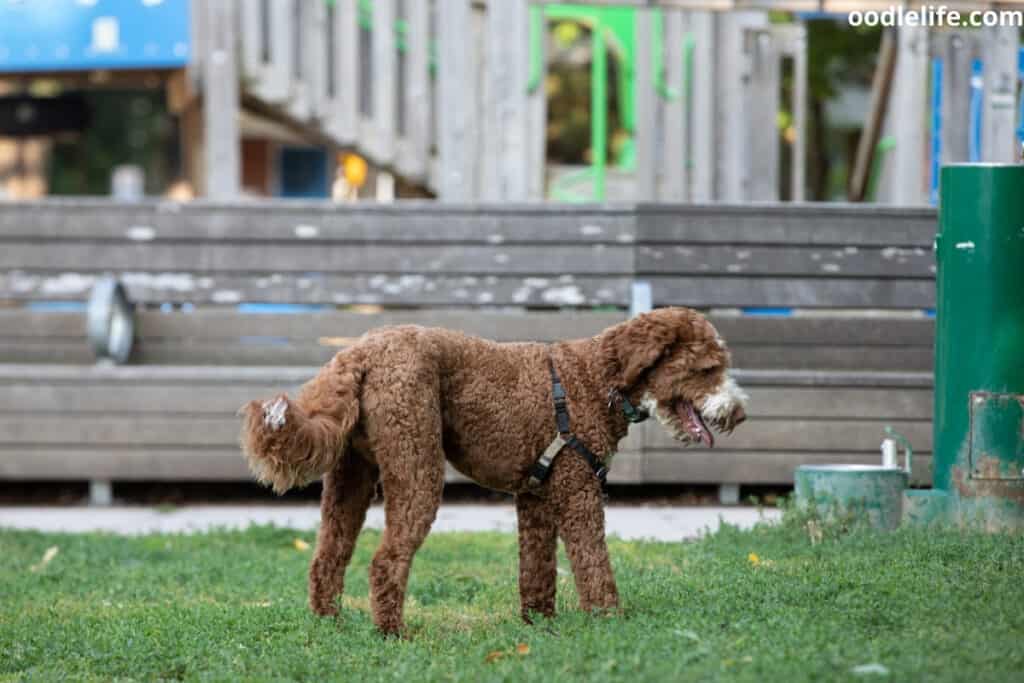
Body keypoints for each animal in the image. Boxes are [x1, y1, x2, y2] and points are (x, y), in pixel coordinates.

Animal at [238, 307, 745, 634]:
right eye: (708, 368)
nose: (739, 414)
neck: (599, 376)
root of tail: (357, 354)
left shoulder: (537, 498)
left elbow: (538, 570)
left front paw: (541, 625)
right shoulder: (579, 492)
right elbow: (594, 564)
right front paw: (608, 621)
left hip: (350, 480)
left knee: (327, 557)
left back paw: (330, 623)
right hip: (416, 465)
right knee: (385, 561)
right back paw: (393, 634)